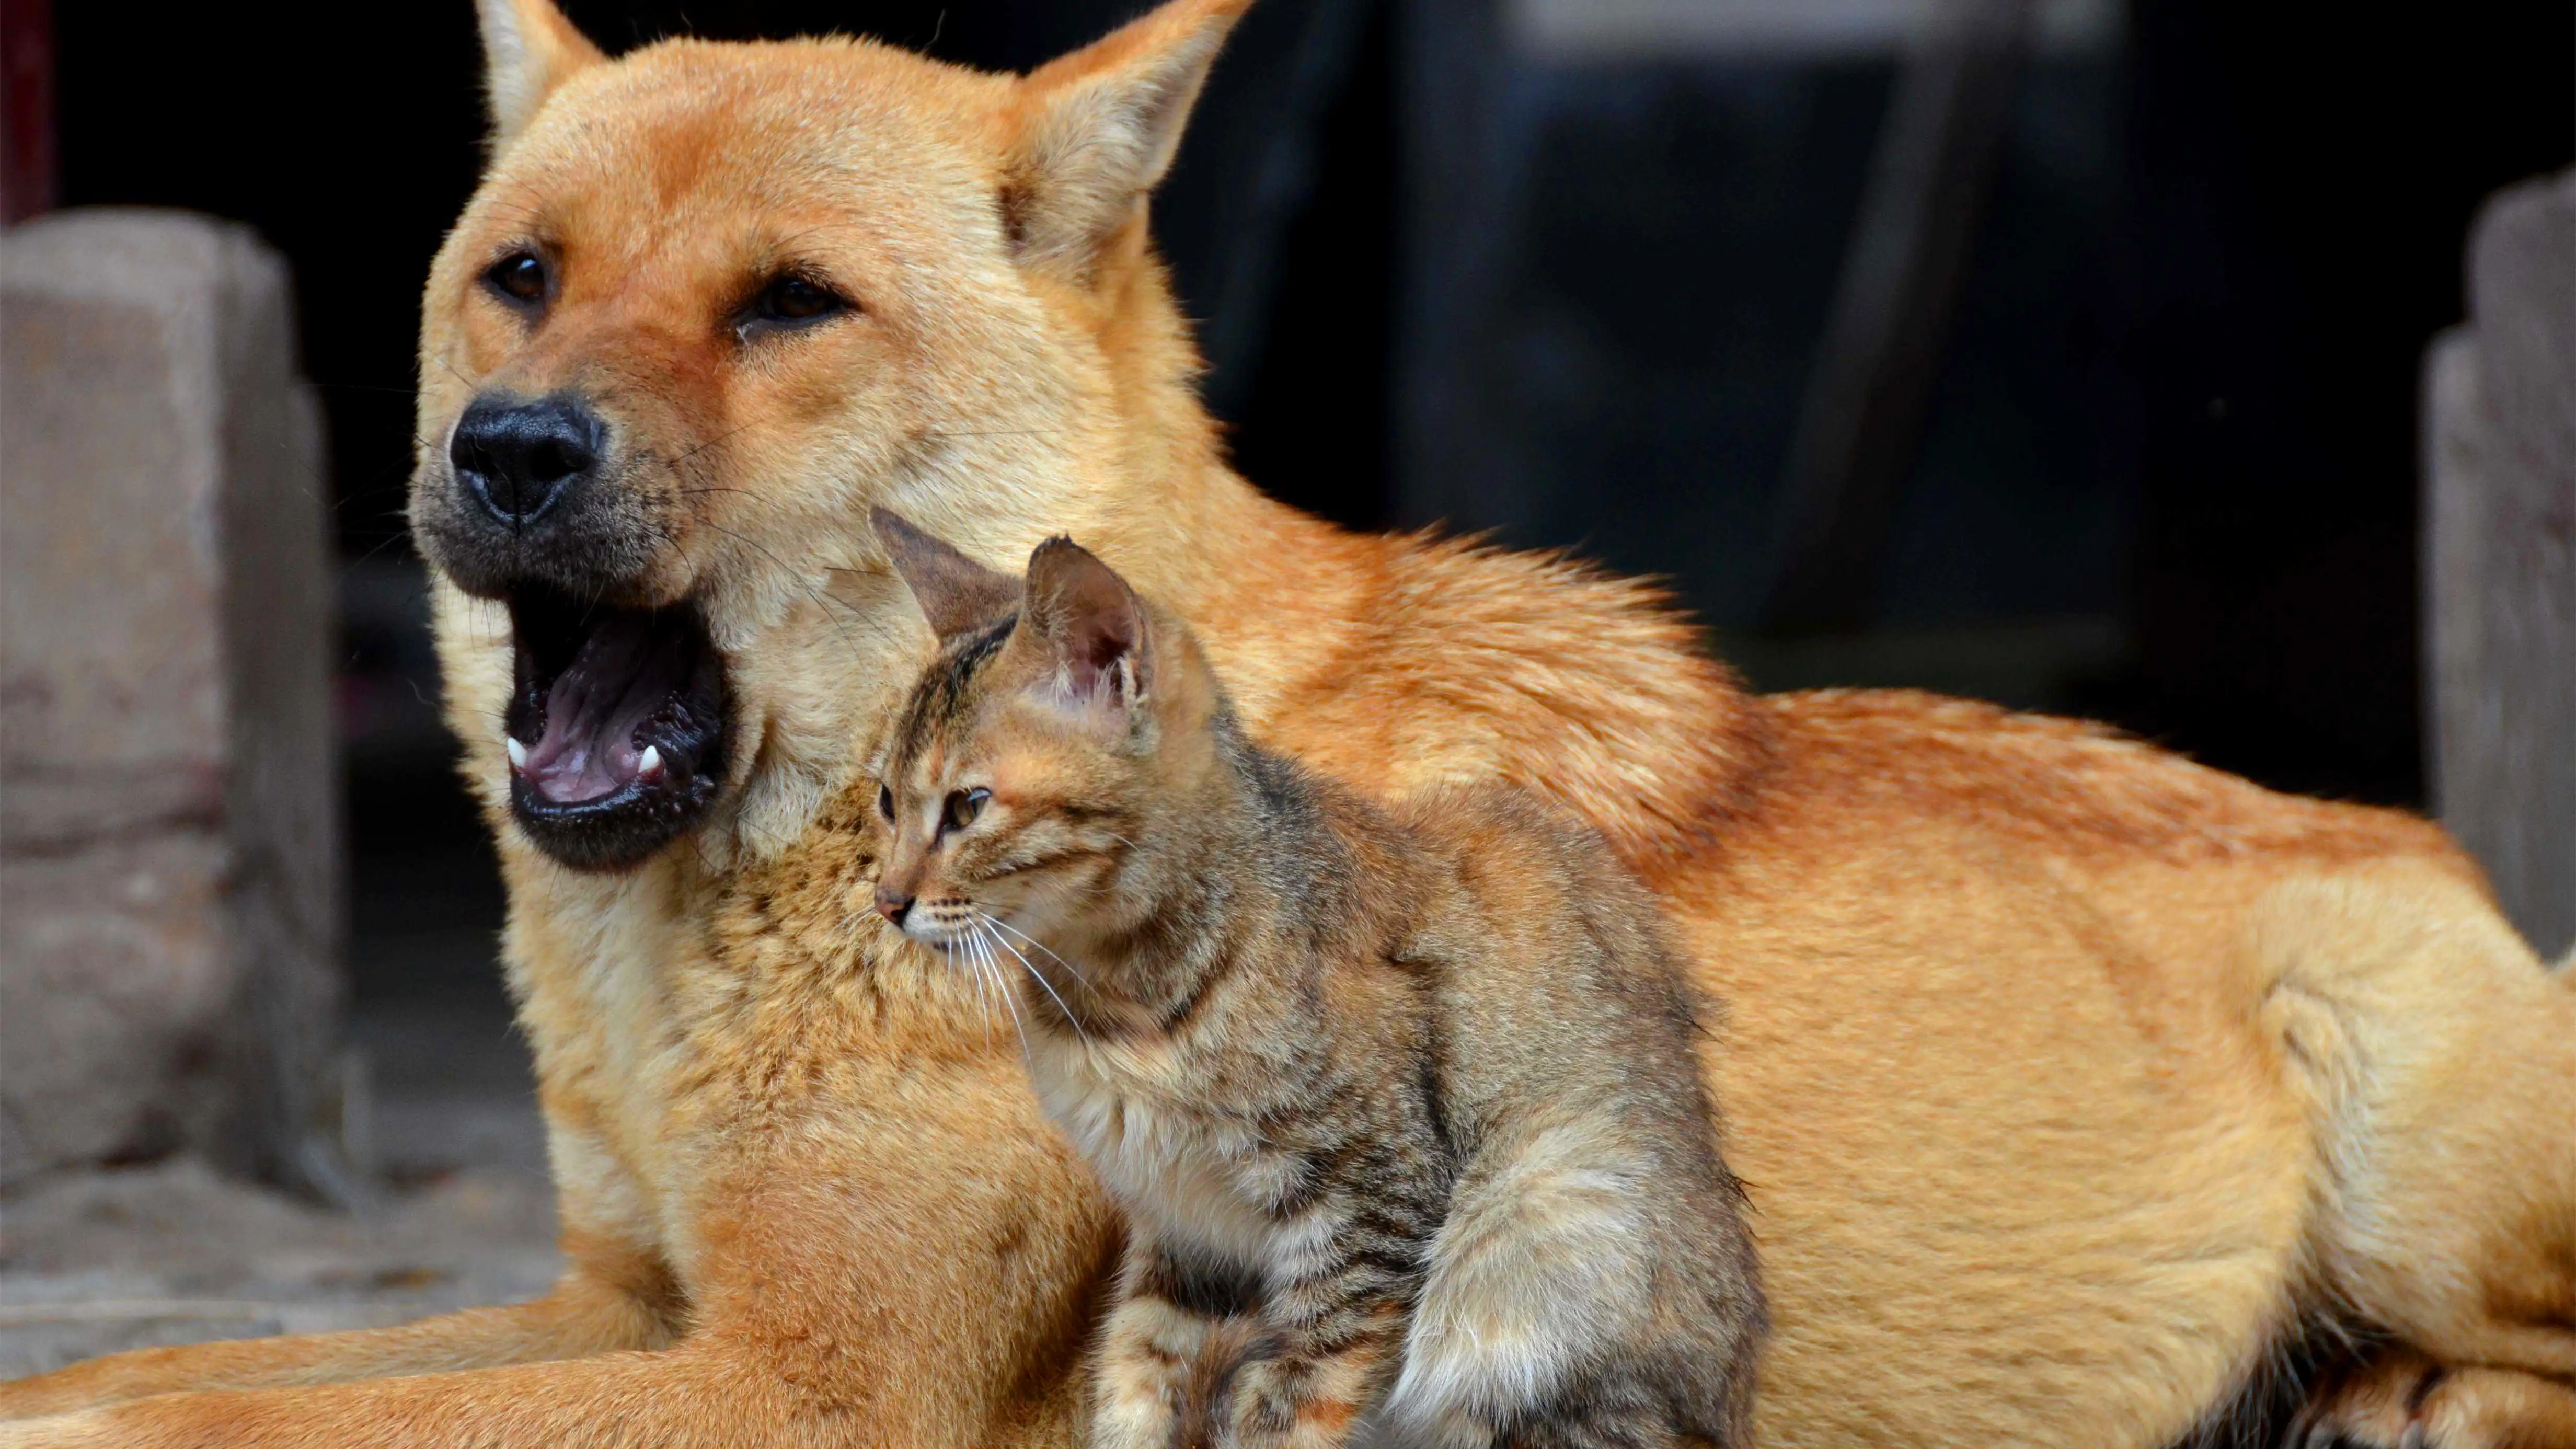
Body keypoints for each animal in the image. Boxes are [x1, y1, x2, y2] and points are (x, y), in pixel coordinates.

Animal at [865, 510, 1772, 1444]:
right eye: (888, 802)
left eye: (968, 807)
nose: (886, 901)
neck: (1115, 1001)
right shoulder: (1183, 1233)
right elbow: (1136, 1370)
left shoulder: (1369, 1210)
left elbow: (1292, 1404)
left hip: (1545, 1220)